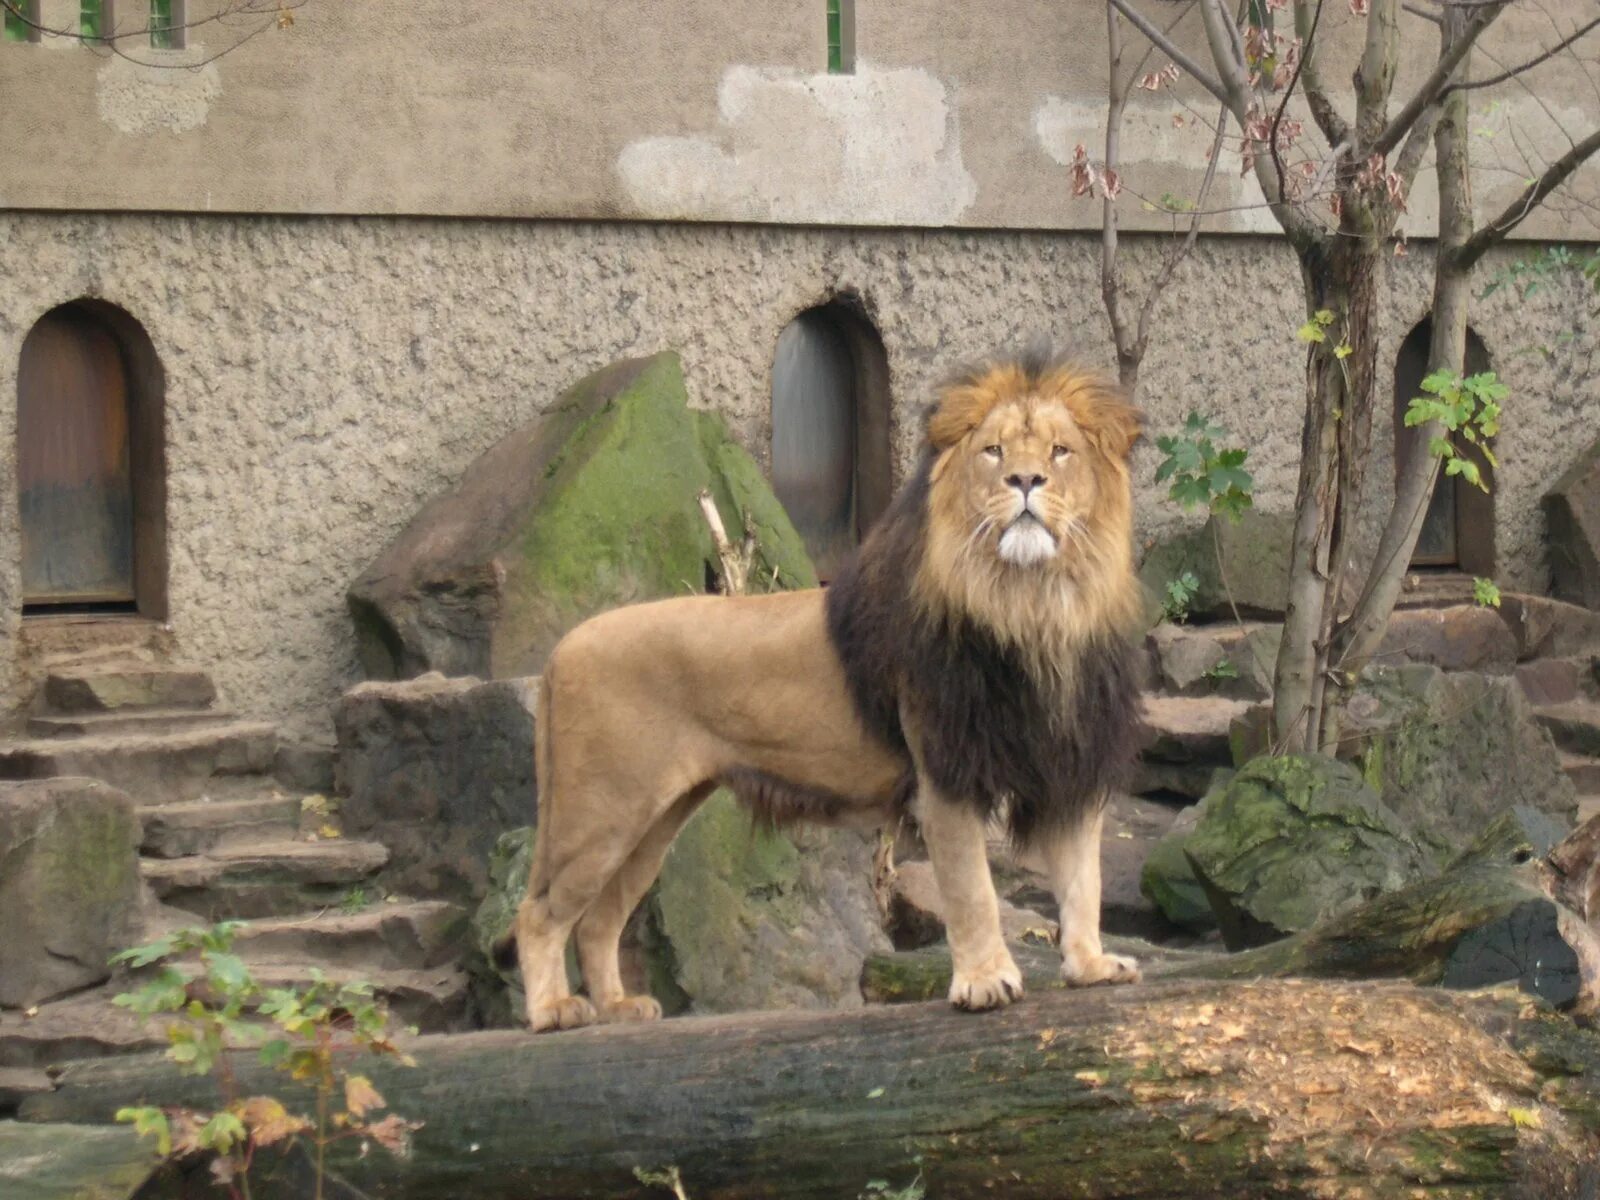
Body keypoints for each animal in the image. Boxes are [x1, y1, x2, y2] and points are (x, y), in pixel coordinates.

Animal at [505, 347, 1145, 1036]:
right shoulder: (944, 769)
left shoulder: (1071, 761)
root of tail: (561, 649)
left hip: (653, 822)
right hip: (599, 812)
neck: (1034, 605)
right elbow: (973, 890)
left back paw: (619, 1009)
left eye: (1060, 451)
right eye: (994, 451)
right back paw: (552, 1011)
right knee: (538, 912)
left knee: (598, 919)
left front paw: (1091, 965)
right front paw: (984, 981)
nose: (1025, 481)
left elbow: (1082, 878)